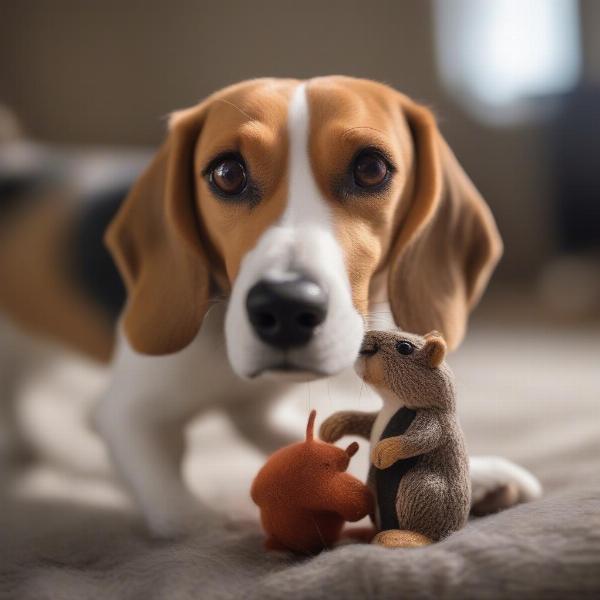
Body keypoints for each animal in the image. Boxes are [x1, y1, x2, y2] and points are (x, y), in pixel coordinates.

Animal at [0, 77, 544, 536]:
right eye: (226, 173)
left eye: (371, 169)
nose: (284, 309)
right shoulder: (129, 413)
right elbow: (185, 521)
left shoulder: (256, 410)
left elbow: (330, 437)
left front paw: (479, 474)